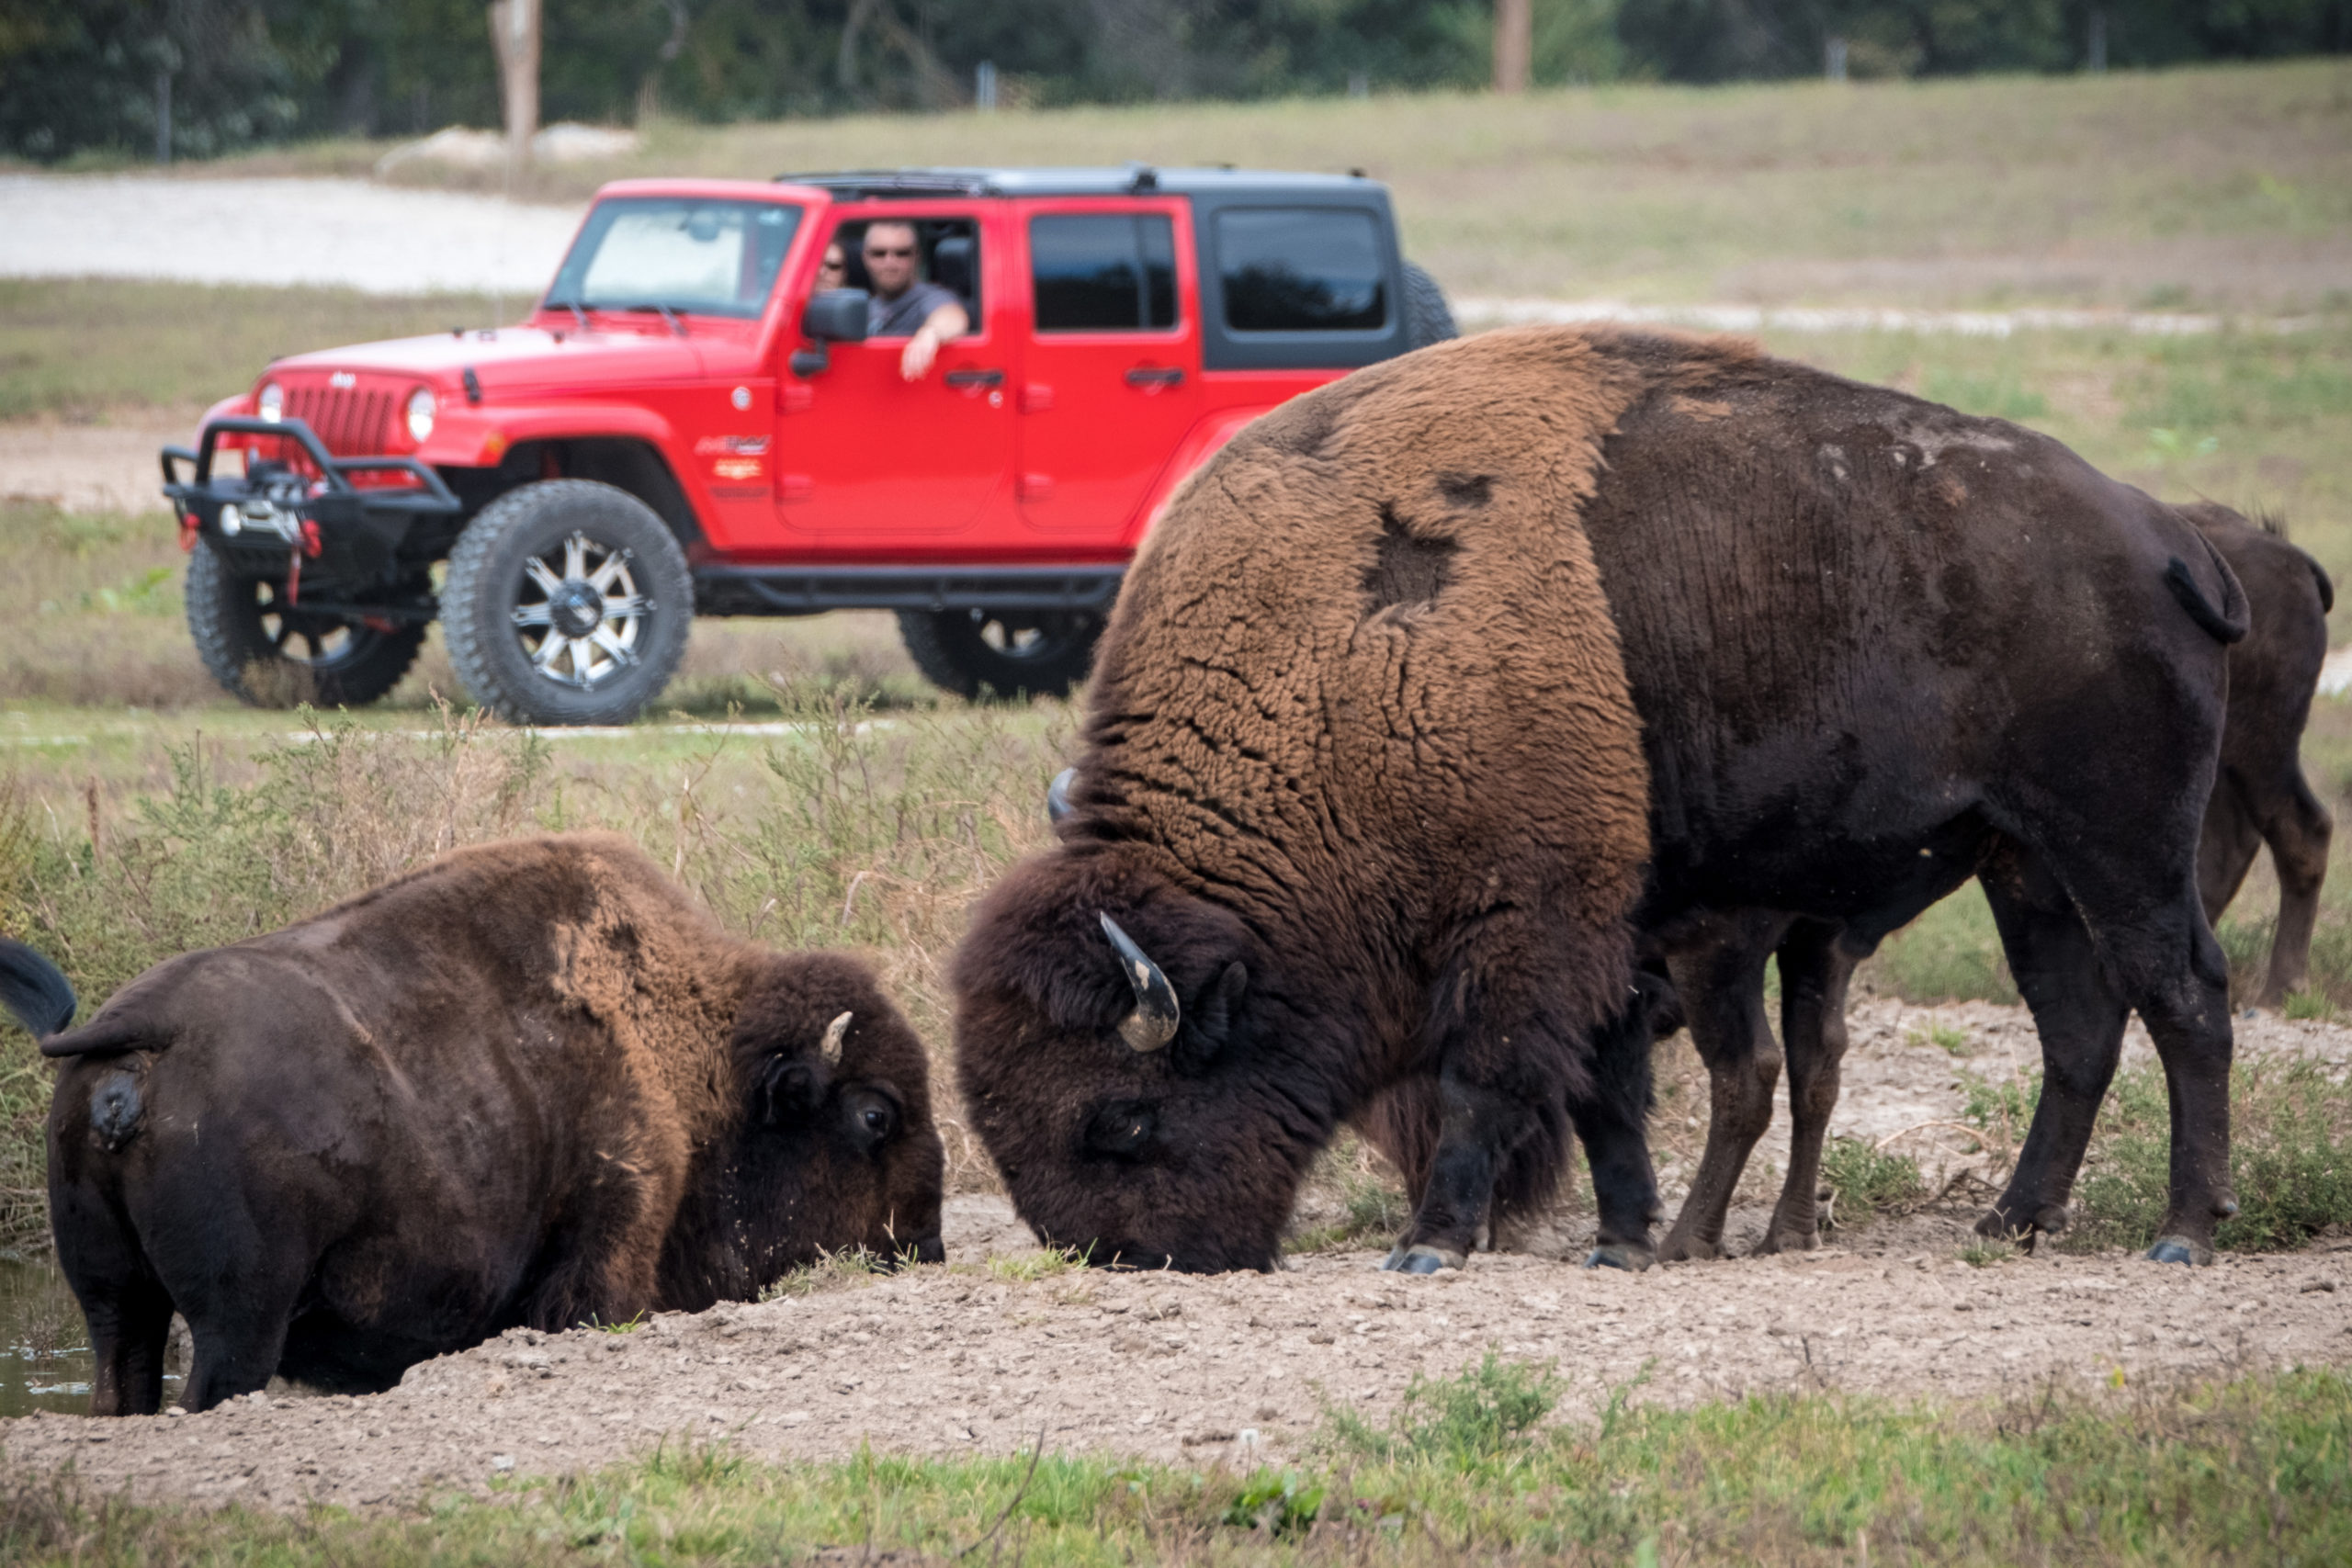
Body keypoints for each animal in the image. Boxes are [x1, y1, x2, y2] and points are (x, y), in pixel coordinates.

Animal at [0, 831, 935, 1419]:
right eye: (874, 1114)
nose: (924, 1247)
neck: (696, 1045)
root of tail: (145, 1032)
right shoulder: (610, 1241)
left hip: (114, 1300)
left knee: (122, 1376)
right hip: (239, 1320)